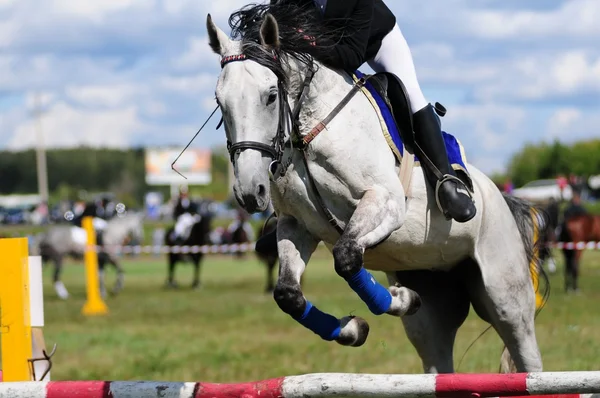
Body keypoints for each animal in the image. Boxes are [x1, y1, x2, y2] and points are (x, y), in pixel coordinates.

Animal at [205, 3, 548, 374]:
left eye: (270, 96)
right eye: (219, 100)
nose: (249, 192)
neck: (307, 131)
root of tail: (502, 198)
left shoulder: (385, 201)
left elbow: (346, 257)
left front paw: (396, 300)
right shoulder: (297, 225)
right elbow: (288, 294)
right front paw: (358, 326)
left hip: (505, 295)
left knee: (526, 354)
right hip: (433, 305)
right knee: (438, 357)